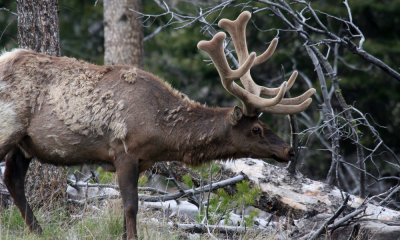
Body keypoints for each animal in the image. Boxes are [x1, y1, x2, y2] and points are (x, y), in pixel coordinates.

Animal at [0, 12, 316, 240]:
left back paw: (39, 232)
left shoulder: (142, 161)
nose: (288, 151)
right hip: (8, 126)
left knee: (12, 179)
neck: (162, 133)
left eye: (263, 124)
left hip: (24, 143)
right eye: (256, 129)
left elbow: (127, 208)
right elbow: (131, 207)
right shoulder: (124, 152)